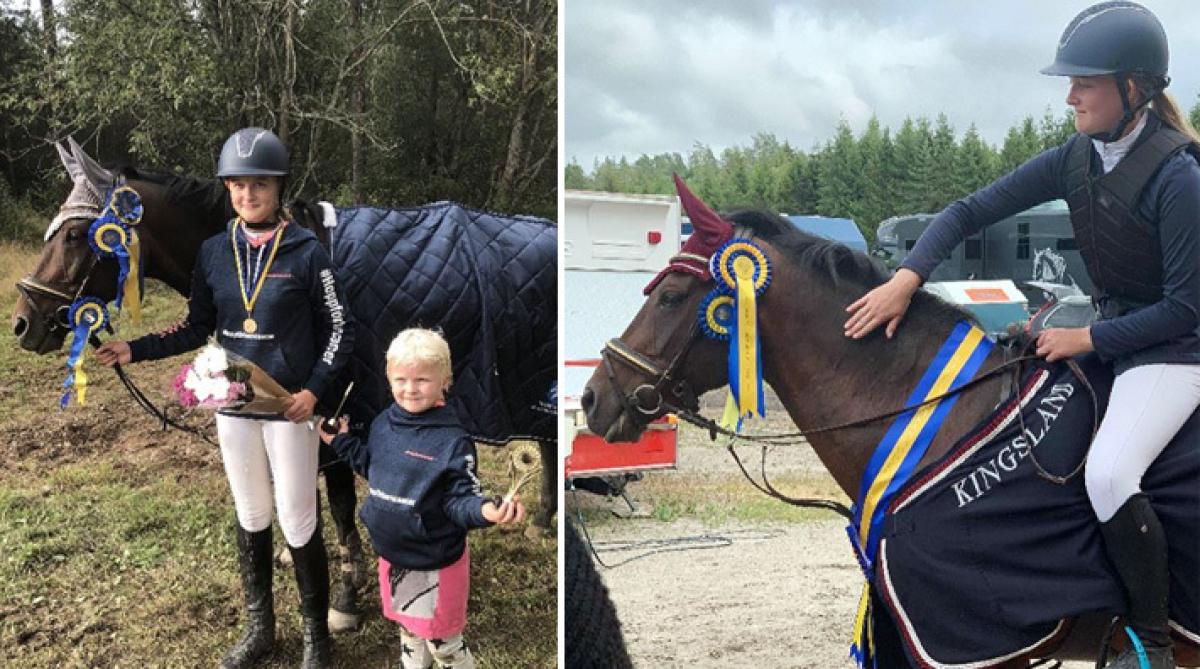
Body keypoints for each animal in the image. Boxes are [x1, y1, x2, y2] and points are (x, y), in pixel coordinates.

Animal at [12, 138, 558, 632]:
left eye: (77, 235)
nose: (23, 323)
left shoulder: (337, 409)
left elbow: (339, 503)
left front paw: (346, 593)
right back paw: (542, 519)